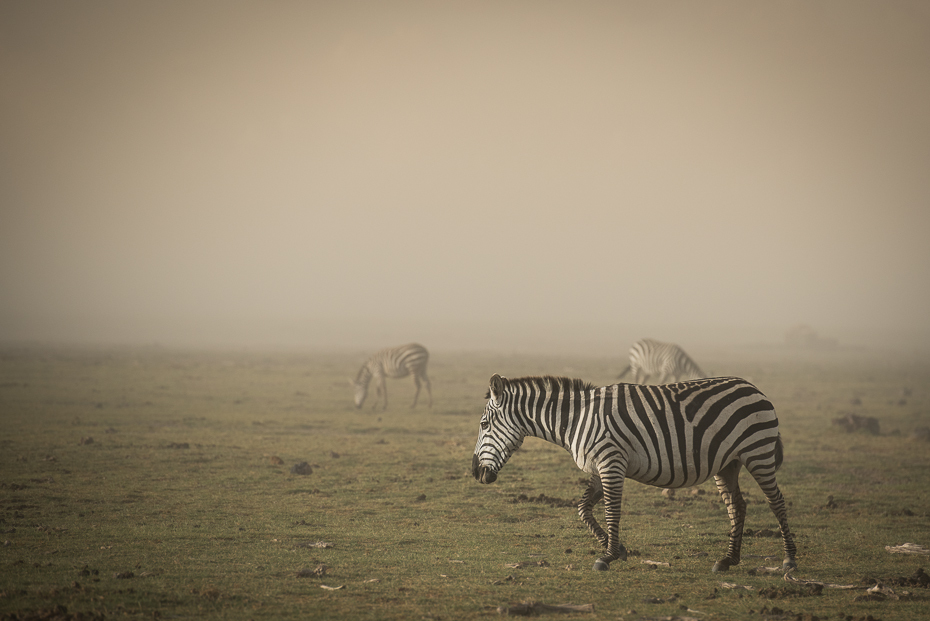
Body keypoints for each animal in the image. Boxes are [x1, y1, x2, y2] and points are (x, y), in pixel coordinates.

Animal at [472, 372, 796, 572]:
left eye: (484, 425)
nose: (475, 472)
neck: (576, 420)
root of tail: (753, 387)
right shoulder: (599, 466)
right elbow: (583, 509)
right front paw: (618, 548)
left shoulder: (611, 462)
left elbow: (611, 511)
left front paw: (608, 556)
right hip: (727, 463)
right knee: (737, 506)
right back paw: (728, 560)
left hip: (757, 453)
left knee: (777, 502)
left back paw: (789, 560)